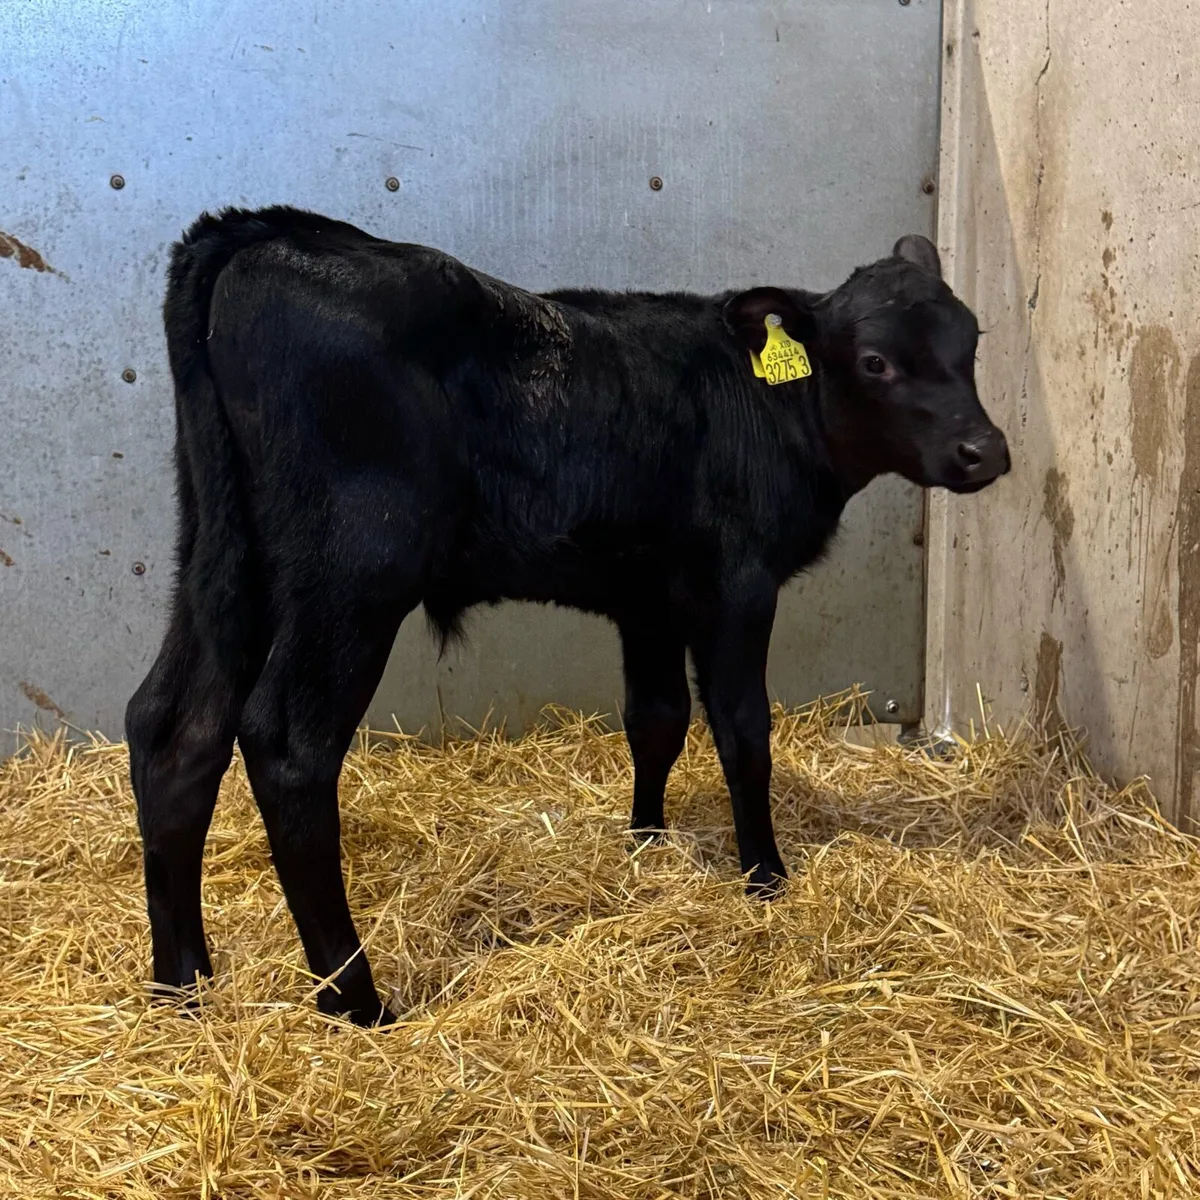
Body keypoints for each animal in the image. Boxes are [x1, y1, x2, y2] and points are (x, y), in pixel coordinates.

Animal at [125, 206, 1009, 1026]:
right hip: (352, 570)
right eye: (876, 361)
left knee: (173, 727)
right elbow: (741, 729)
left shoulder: (648, 595)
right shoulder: (739, 583)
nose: (986, 451)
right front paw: (765, 875)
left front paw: (646, 841)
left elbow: (656, 718)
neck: (771, 411)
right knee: (286, 746)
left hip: (221, 558)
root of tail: (266, 230)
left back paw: (183, 986)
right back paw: (356, 1000)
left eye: (971, 342)